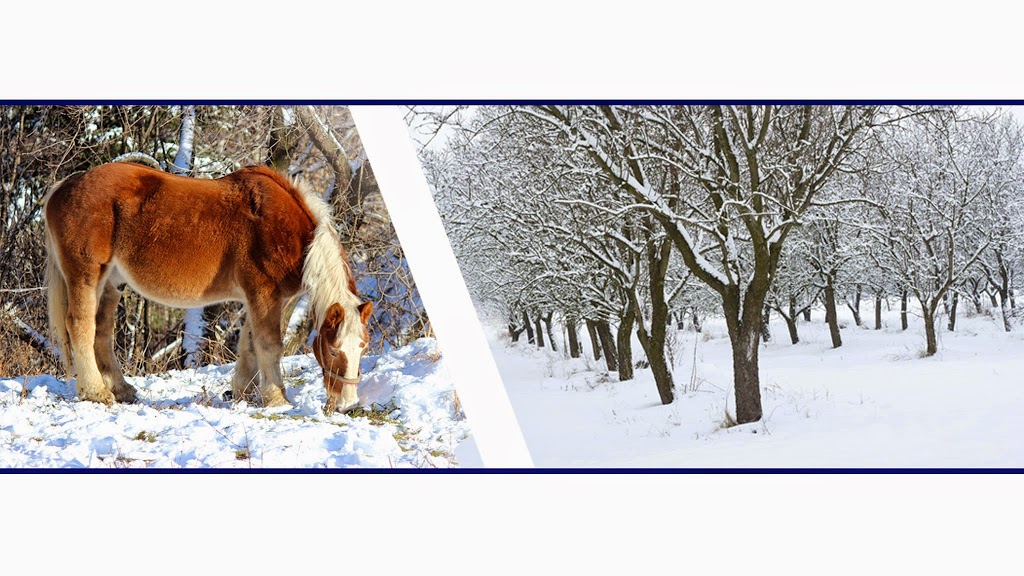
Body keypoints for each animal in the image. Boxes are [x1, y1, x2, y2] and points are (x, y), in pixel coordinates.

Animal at [44, 159, 374, 412]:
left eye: (363, 347)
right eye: (334, 351)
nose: (348, 405)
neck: (287, 232)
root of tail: (65, 186)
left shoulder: (263, 298)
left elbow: (249, 343)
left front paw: (242, 392)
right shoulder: (264, 293)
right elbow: (269, 344)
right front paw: (277, 398)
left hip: (113, 283)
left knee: (101, 331)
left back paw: (121, 389)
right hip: (86, 276)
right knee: (80, 325)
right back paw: (95, 392)